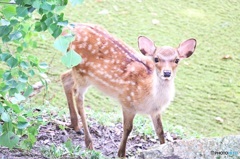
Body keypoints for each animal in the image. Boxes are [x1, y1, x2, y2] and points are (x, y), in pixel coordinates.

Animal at [60, 23, 197, 157]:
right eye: (156, 59)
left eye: (177, 60)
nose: (167, 73)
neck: (149, 96)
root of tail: (67, 28)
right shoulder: (127, 101)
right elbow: (128, 128)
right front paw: (121, 153)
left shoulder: (155, 111)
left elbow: (160, 131)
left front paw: (164, 148)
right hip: (81, 72)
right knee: (79, 98)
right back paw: (89, 142)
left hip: (79, 72)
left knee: (65, 78)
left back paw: (75, 126)